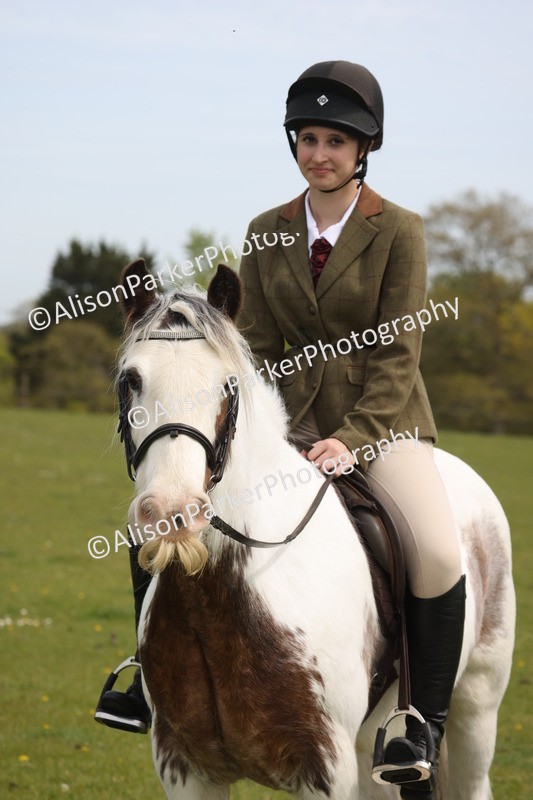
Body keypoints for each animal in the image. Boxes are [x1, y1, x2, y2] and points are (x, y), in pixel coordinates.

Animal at [116, 259, 515, 800]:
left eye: (228, 385)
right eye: (130, 380)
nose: (173, 512)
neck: (219, 602)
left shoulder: (326, 768)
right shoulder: (184, 765)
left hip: (476, 706)